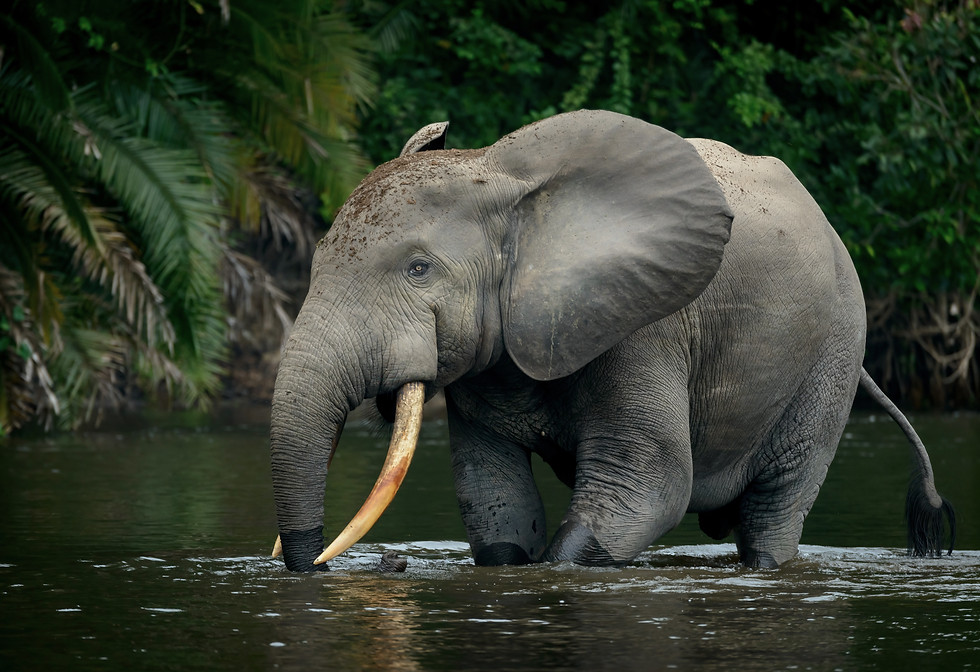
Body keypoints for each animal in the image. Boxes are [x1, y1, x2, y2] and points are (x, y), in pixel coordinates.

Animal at [270, 110, 955, 572]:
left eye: (419, 269)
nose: (314, 565)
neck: (501, 176)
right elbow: (495, 498)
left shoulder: (645, 325)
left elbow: (648, 487)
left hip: (833, 351)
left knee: (774, 512)